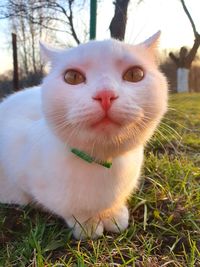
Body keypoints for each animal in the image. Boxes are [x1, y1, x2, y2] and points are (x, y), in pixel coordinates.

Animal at [0, 31, 168, 241]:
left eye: (134, 74)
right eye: (72, 77)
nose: (105, 95)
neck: (102, 165)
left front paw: (114, 214)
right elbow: (69, 209)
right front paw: (87, 225)